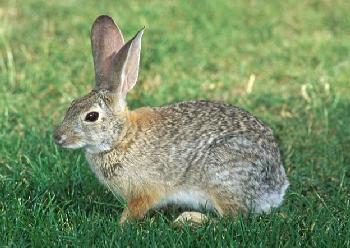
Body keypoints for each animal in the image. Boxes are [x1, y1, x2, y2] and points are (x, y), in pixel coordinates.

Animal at [54, 16, 288, 225]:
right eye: (72, 104)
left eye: (91, 116)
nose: (58, 137)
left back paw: (188, 219)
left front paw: (120, 224)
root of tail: (276, 188)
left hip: (222, 176)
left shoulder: (144, 191)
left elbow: (134, 210)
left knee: (232, 217)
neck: (121, 138)